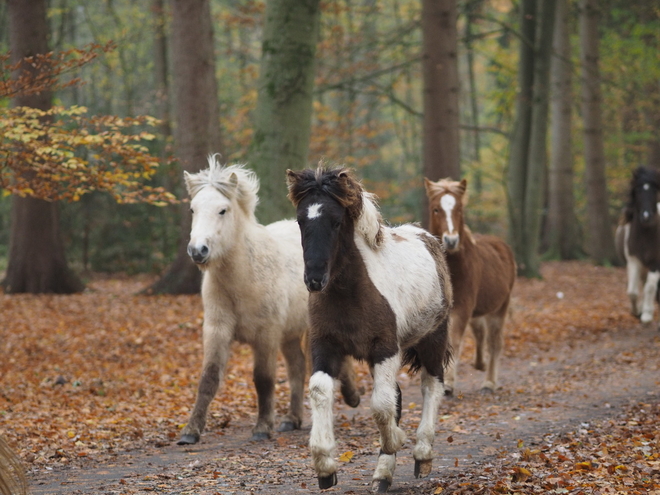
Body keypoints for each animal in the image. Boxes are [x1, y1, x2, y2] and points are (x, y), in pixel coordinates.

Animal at [178, 156, 358, 446]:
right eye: (193, 209)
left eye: (223, 210)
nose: (198, 250)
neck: (243, 279)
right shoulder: (217, 332)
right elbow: (209, 378)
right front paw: (190, 431)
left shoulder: (266, 335)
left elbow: (263, 379)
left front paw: (262, 427)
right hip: (290, 334)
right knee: (297, 368)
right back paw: (291, 419)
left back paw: (352, 397)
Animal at [286, 169, 452, 494]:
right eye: (301, 221)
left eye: (336, 221)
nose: (314, 279)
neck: (350, 293)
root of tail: (428, 238)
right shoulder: (325, 345)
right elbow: (320, 390)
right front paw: (325, 467)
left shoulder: (385, 348)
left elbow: (382, 405)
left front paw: (395, 441)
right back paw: (383, 474)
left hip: (433, 339)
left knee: (432, 385)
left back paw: (422, 455)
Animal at [422, 177, 516, 396]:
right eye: (436, 209)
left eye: (459, 209)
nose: (451, 240)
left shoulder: (462, 308)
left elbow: (455, 340)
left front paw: (448, 382)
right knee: (480, 333)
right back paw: (480, 364)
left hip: (499, 308)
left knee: (494, 342)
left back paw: (489, 381)